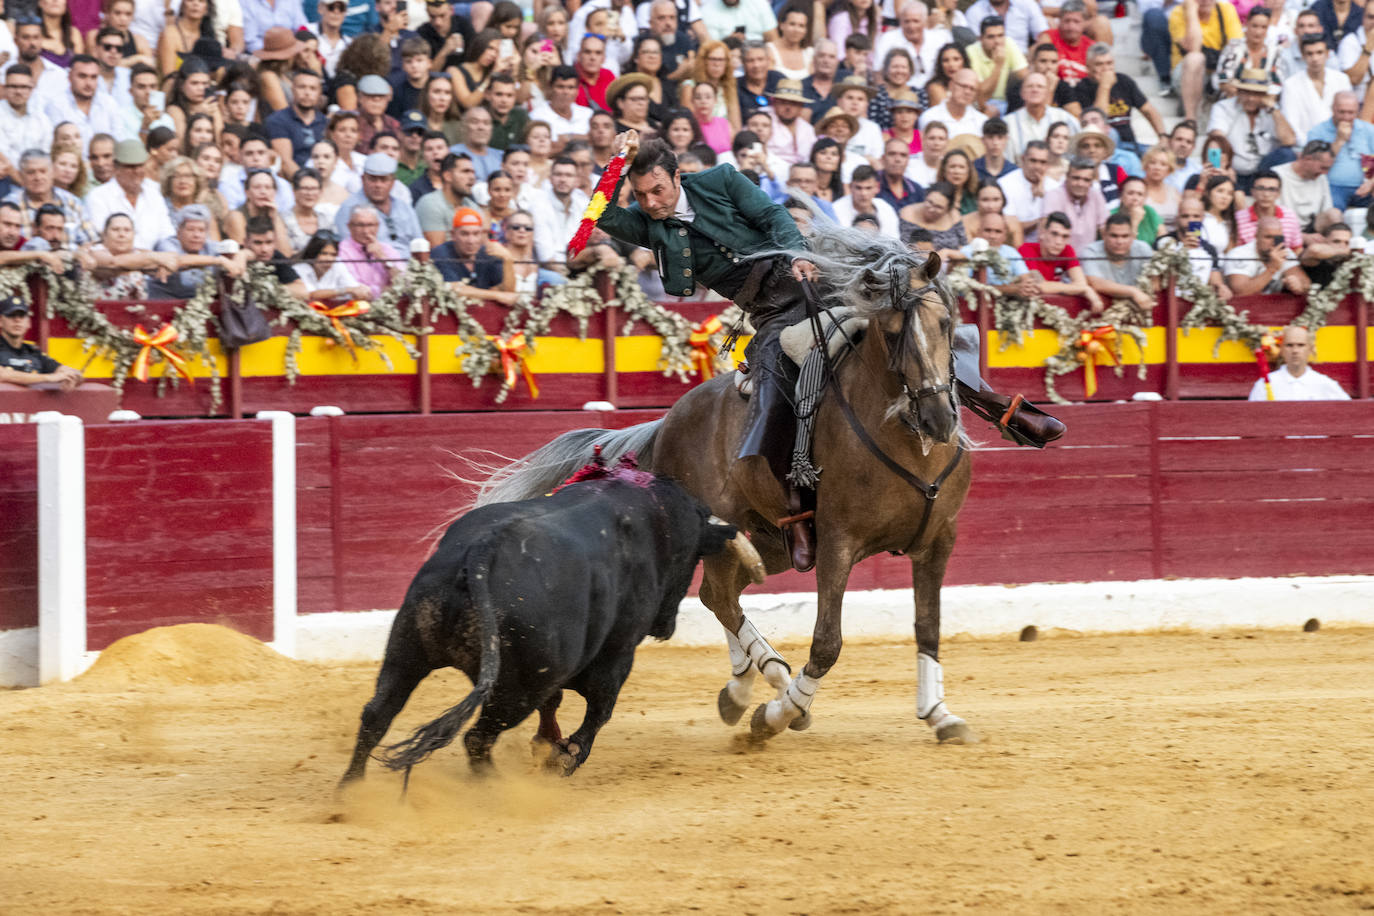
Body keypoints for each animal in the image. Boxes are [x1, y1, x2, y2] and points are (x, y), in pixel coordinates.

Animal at [339, 472, 769, 780]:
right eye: (692, 557)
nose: (666, 625)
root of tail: (481, 552)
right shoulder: (616, 654)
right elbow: (599, 709)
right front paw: (564, 757)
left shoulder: (553, 670)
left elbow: (556, 704)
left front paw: (548, 745)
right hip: (514, 691)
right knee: (477, 737)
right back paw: (496, 787)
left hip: (408, 649)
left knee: (376, 715)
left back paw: (350, 792)